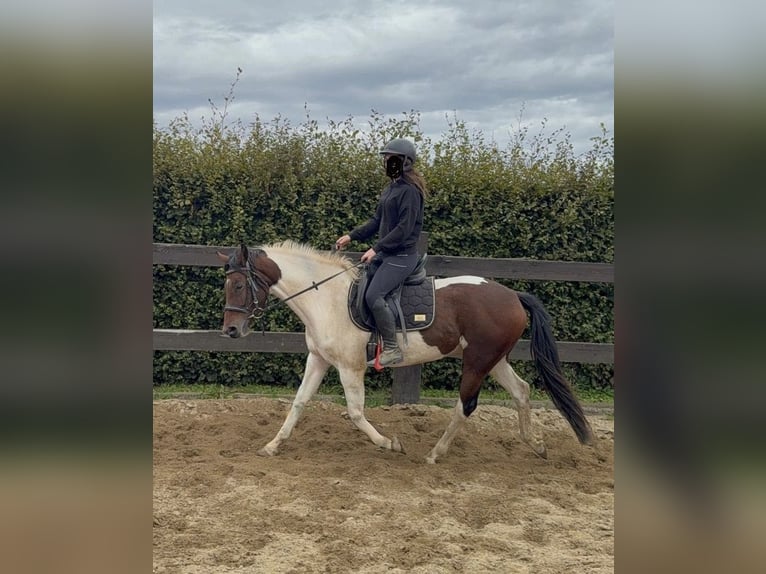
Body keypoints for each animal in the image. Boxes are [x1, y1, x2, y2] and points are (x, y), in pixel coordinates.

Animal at [217, 241, 595, 463]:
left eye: (238, 285)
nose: (231, 331)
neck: (327, 298)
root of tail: (513, 295)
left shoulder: (350, 368)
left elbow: (355, 413)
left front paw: (390, 444)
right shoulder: (319, 360)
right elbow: (298, 403)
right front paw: (272, 445)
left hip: (477, 361)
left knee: (466, 406)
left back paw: (434, 454)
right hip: (495, 359)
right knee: (522, 391)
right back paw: (536, 444)